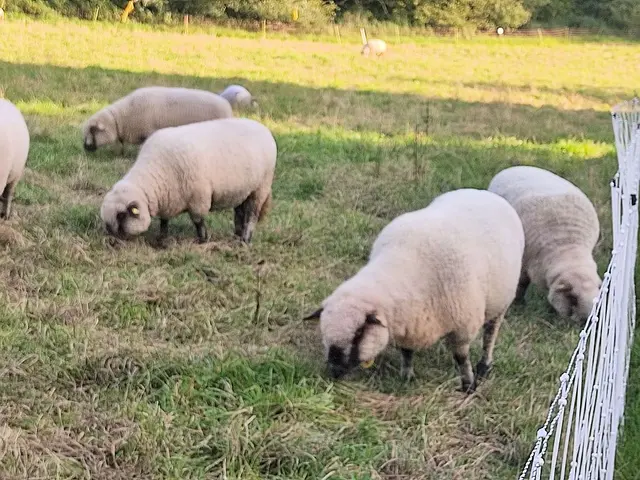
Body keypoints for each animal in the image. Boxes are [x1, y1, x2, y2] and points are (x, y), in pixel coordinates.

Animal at [100, 117, 276, 246]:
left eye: (121, 216)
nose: (112, 241)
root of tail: (263, 128)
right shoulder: (168, 199)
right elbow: (164, 221)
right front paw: (161, 240)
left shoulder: (199, 198)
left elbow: (198, 221)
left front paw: (202, 240)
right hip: (242, 190)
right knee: (239, 212)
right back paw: (236, 236)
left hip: (260, 188)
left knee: (251, 215)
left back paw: (245, 240)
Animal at [304, 188, 525, 393]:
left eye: (359, 333)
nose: (333, 371)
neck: (405, 268)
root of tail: (485, 192)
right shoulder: (409, 323)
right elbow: (407, 352)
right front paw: (407, 376)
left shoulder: (464, 325)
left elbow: (461, 357)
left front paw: (468, 385)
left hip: (501, 302)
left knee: (490, 334)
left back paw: (484, 365)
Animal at [488, 165, 601, 323]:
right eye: (573, 297)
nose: (586, 321)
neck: (567, 246)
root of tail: (515, 167)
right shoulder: (524, 262)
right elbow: (521, 284)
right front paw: (519, 304)